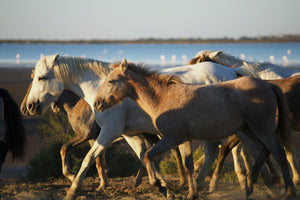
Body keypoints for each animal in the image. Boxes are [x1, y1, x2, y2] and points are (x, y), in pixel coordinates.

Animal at [26, 54, 241, 199]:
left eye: (41, 77)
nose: (30, 106)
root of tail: (233, 71)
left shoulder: (109, 132)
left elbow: (88, 159)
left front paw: (73, 189)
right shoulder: (130, 135)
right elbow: (144, 157)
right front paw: (164, 188)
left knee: (219, 150)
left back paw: (204, 185)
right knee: (214, 151)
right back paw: (200, 185)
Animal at [94, 59, 296, 198]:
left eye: (111, 81)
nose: (96, 103)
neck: (161, 98)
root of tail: (268, 85)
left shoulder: (172, 138)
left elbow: (148, 155)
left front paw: (161, 188)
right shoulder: (184, 140)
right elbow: (188, 164)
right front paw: (191, 193)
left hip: (262, 129)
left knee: (278, 152)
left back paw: (288, 191)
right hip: (250, 130)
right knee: (264, 151)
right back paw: (251, 187)